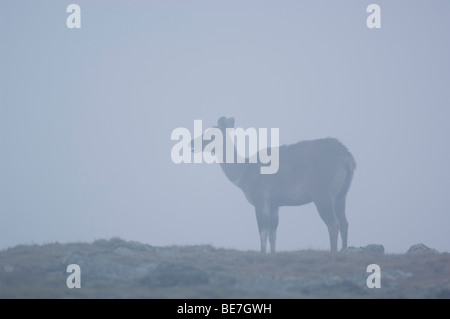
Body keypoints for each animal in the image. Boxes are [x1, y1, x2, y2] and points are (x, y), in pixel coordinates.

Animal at [192, 116, 356, 254]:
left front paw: (262, 254)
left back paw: (333, 252)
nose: (191, 143)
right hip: (342, 194)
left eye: (211, 134)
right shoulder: (274, 204)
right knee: (345, 223)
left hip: (322, 193)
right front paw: (272, 253)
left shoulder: (260, 198)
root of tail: (348, 158)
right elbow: (273, 233)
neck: (242, 174)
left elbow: (262, 231)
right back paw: (344, 250)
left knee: (333, 224)